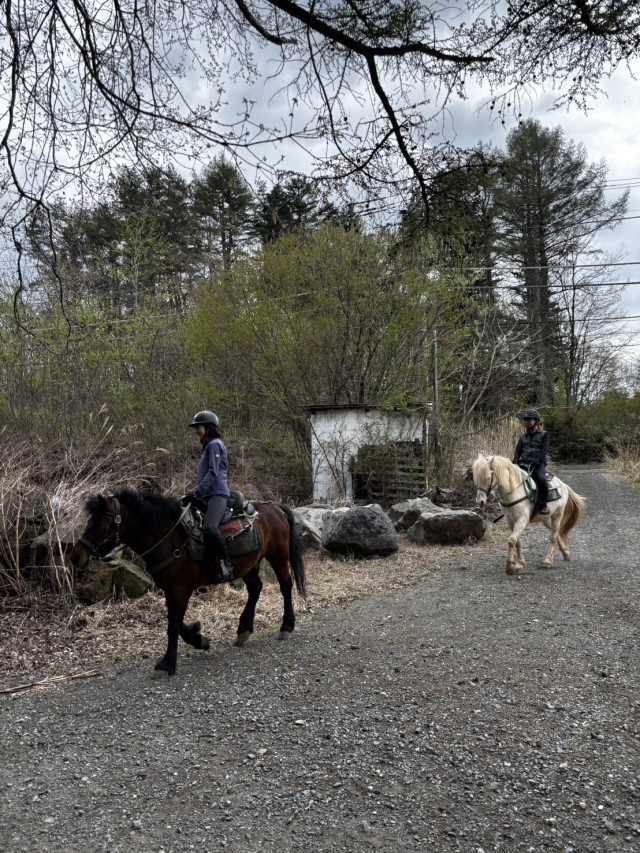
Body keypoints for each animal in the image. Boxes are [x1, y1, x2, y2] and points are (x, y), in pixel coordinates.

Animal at [68, 488, 306, 675]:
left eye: (100, 523)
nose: (75, 556)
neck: (169, 538)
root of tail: (274, 508)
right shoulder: (171, 590)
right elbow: (175, 622)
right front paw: (196, 639)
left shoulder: (180, 589)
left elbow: (174, 625)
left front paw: (169, 662)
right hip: (249, 564)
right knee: (256, 588)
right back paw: (244, 629)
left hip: (277, 556)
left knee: (285, 586)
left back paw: (286, 626)